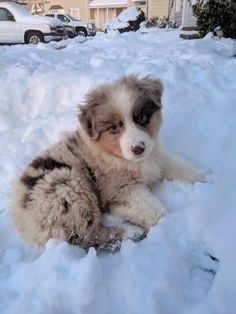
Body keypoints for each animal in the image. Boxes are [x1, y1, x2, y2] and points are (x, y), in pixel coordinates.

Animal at [10, 75, 204, 249]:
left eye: (142, 118)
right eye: (113, 127)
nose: (138, 148)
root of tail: (23, 223)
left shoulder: (157, 157)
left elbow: (181, 167)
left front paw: (206, 179)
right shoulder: (121, 188)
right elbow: (156, 210)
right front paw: (162, 222)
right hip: (69, 189)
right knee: (85, 236)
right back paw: (130, 231)